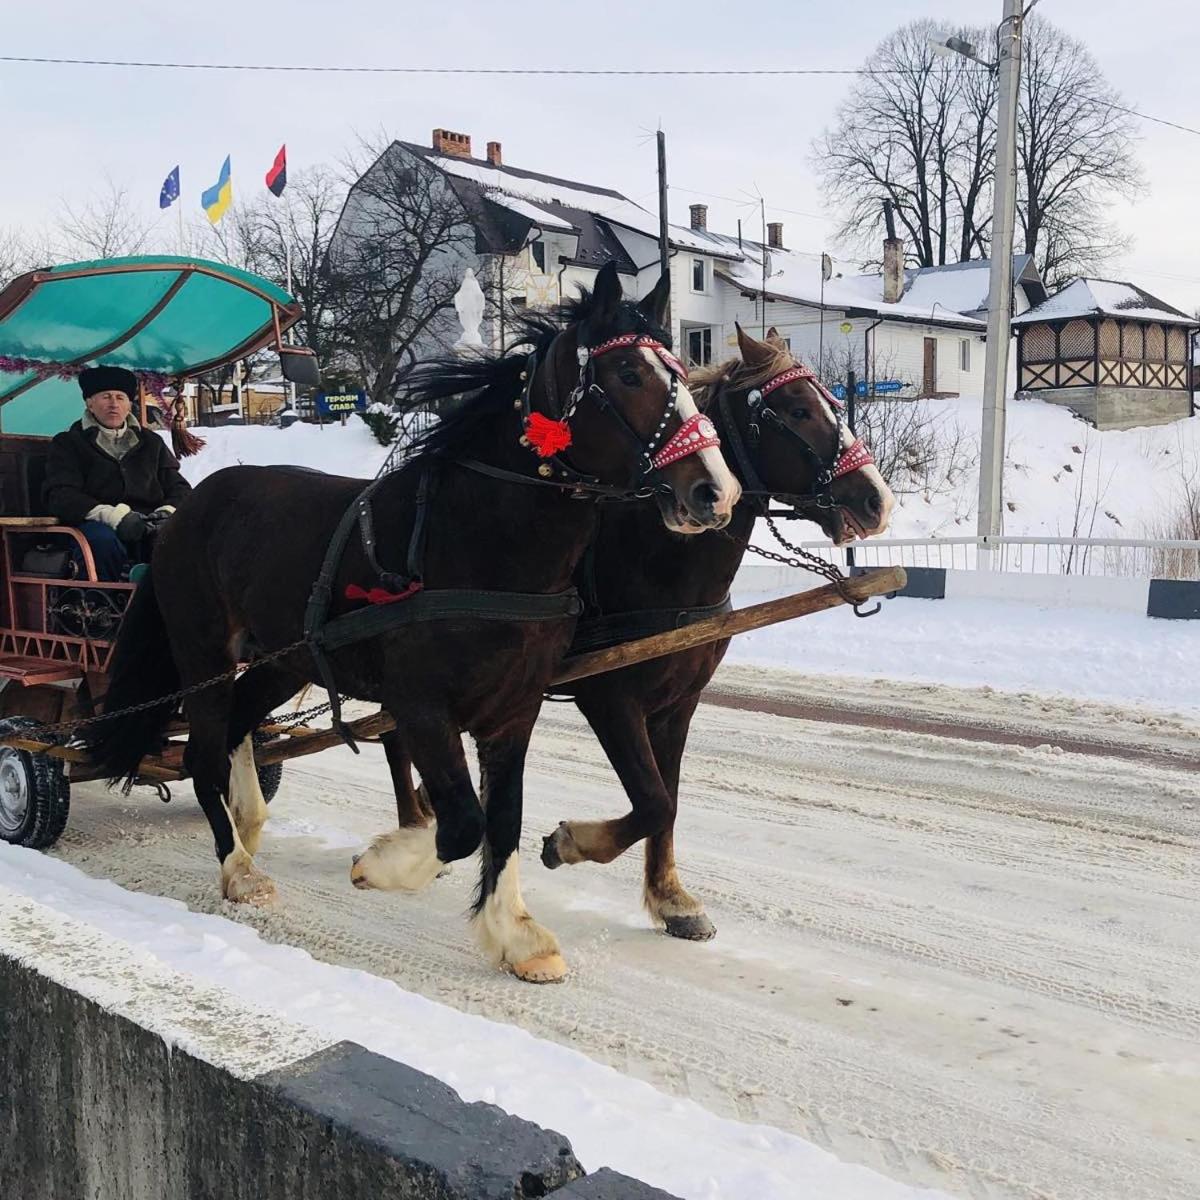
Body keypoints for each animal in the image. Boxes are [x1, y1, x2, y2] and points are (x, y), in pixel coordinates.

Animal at [86, 262, 741, 983]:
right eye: (627, 373)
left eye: (679, 370)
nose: (715, 491)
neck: (474, 542)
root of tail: (186, 510)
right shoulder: (422, 704)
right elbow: (463, 823)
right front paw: (385, 863)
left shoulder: (515, 709)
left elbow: (504, 817)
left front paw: (513, 932)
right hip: (203, 653)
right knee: (202, 752)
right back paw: (237, 867)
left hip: (279, 659)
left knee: (236, 729)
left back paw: (249, 824)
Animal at [538, 324, 894, 940]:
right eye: (797, 409)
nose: (878, 500)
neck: (652, 561)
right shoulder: (608, 696)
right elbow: (653, 801)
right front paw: (570, 842)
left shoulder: (679, 702)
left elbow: (668, 798)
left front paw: (671, 898)